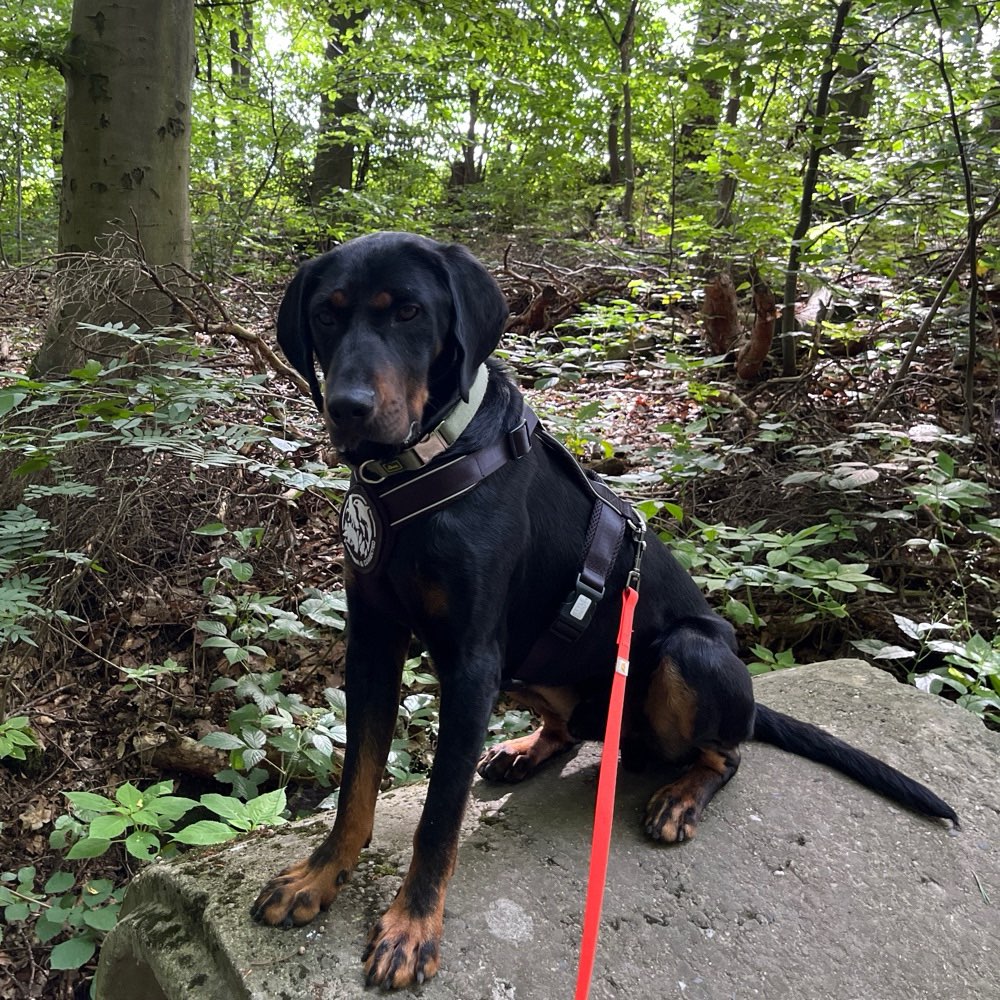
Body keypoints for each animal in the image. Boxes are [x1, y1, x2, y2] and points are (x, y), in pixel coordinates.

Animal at [248, 234, 952, 992]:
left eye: (408, 310)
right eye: (326, 314)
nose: (347, 408)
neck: (421, 469)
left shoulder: (472, 663)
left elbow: (438, 818)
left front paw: (412, 929)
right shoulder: (374, 640)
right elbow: (357, 783)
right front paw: (318, 878)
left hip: (690, 654)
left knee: (727, 751)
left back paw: (679, 794)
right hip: (536, 664)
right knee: (572, 729)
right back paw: (526, 748)